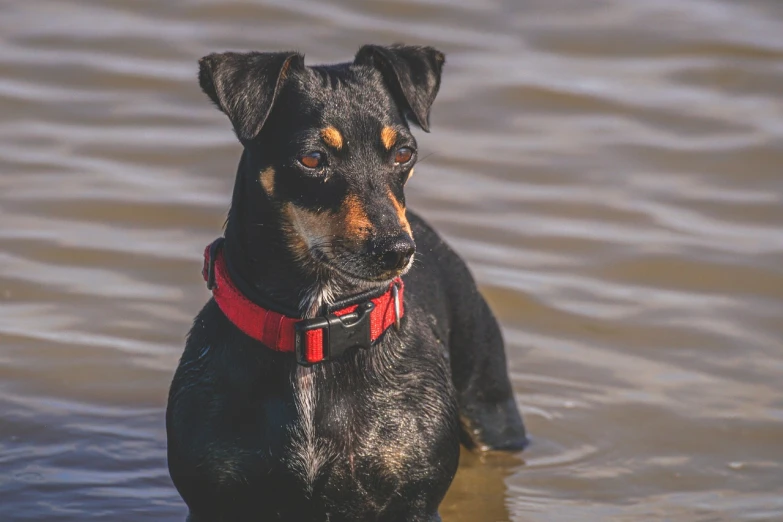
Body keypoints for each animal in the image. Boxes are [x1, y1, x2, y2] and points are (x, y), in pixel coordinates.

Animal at [165, 42, 528, 516]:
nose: (397, 249)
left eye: (404, 153)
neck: (316, 326)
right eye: (312, 158)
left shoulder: (415, 500)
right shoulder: (213, 499)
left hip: (491, 406)